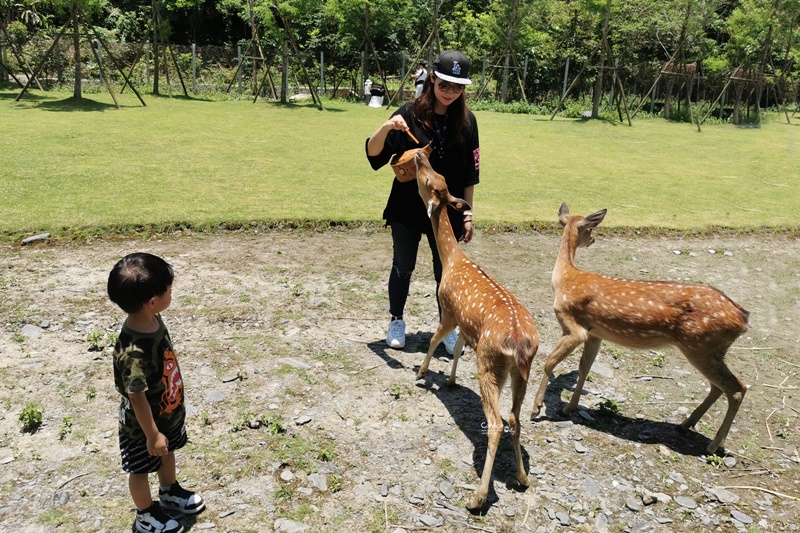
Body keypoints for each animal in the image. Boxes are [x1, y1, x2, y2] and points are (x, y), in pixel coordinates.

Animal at [412, 150, 536, 512]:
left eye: (428, 180)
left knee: (496, 422)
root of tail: (520, 344)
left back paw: (478, 497)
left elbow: (435, 339)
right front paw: (451, 380)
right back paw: (523, 478)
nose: (420, 153)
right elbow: (455, 349)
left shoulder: (449, 310)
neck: (452, 259)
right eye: (439, 176)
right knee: (515, 418)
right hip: (521, 372)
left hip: (490, 363)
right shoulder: (468, 328)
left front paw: (421, 373)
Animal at [532, 204, 752, 454]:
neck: (565, 279)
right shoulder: (595, 333)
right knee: (719, 387)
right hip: (711, 350)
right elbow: (584, 369)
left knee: (737, 388)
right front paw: (570, 408)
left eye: (591, 229)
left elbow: (549, 362)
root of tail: (743, 318)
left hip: (700, 346)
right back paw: (686, 424)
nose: (594, 239)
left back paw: (713, 445)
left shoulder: (573, 325)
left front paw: (536, 409)